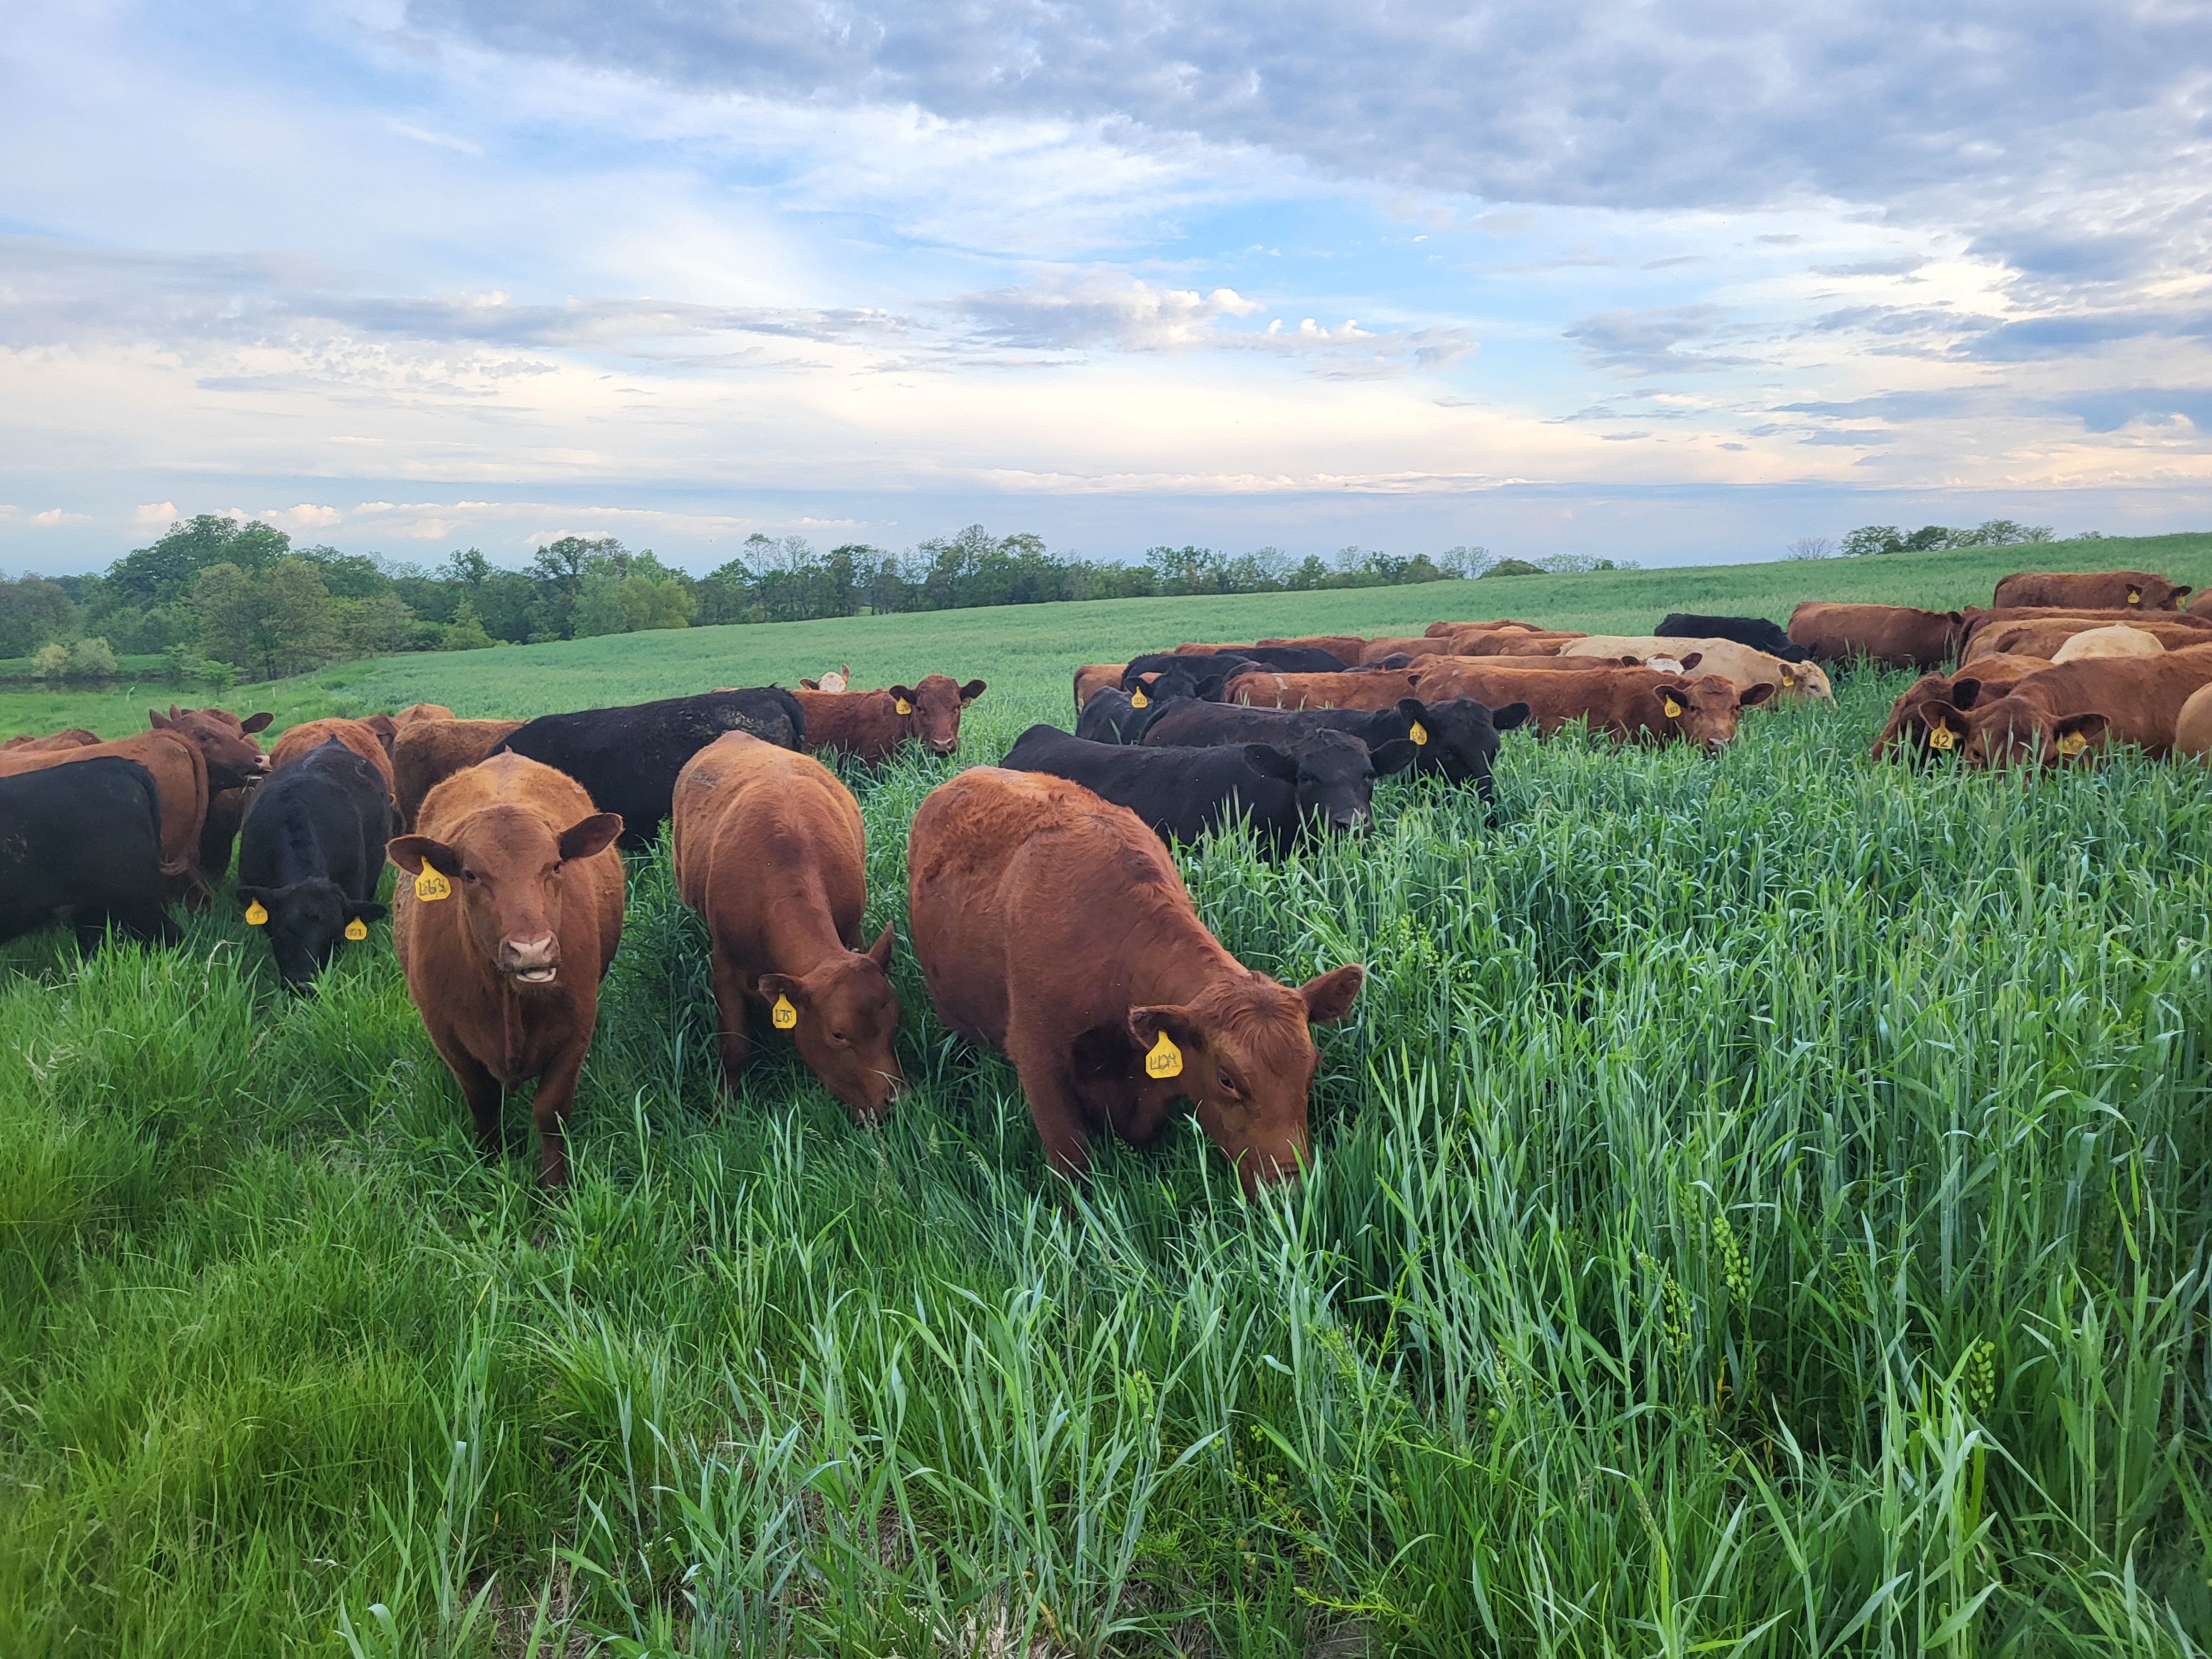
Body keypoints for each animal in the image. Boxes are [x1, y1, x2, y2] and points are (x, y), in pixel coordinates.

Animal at [387, 752, 625, 1186]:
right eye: (470, 874)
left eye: (556, 866)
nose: (531, 949)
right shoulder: (448, 1036)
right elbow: (483, 1104)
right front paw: (490, 1167)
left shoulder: (578, 1028)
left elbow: (550, 1111)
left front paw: (553, 1188)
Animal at [671, 733, 903, 1117]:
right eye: (838, 1035)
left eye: (896, 1020)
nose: (893, 1101)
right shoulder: (724, 964)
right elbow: (735, 1046)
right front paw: (725, 1108)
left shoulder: (853, 932)